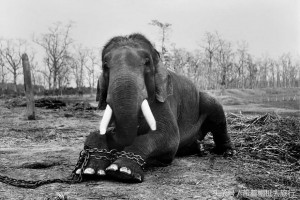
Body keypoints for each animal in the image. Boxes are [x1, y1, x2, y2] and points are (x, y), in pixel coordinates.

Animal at [74, 33, 233, 183]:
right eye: (105, 65)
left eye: (147, 62)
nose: (111, 131)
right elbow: (97, 134)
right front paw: (90, 170)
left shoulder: (164, 101)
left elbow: (168, 137)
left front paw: (122, 171)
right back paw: (199, 148)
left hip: (207, 102)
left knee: (216, 113)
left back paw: (227, 152)